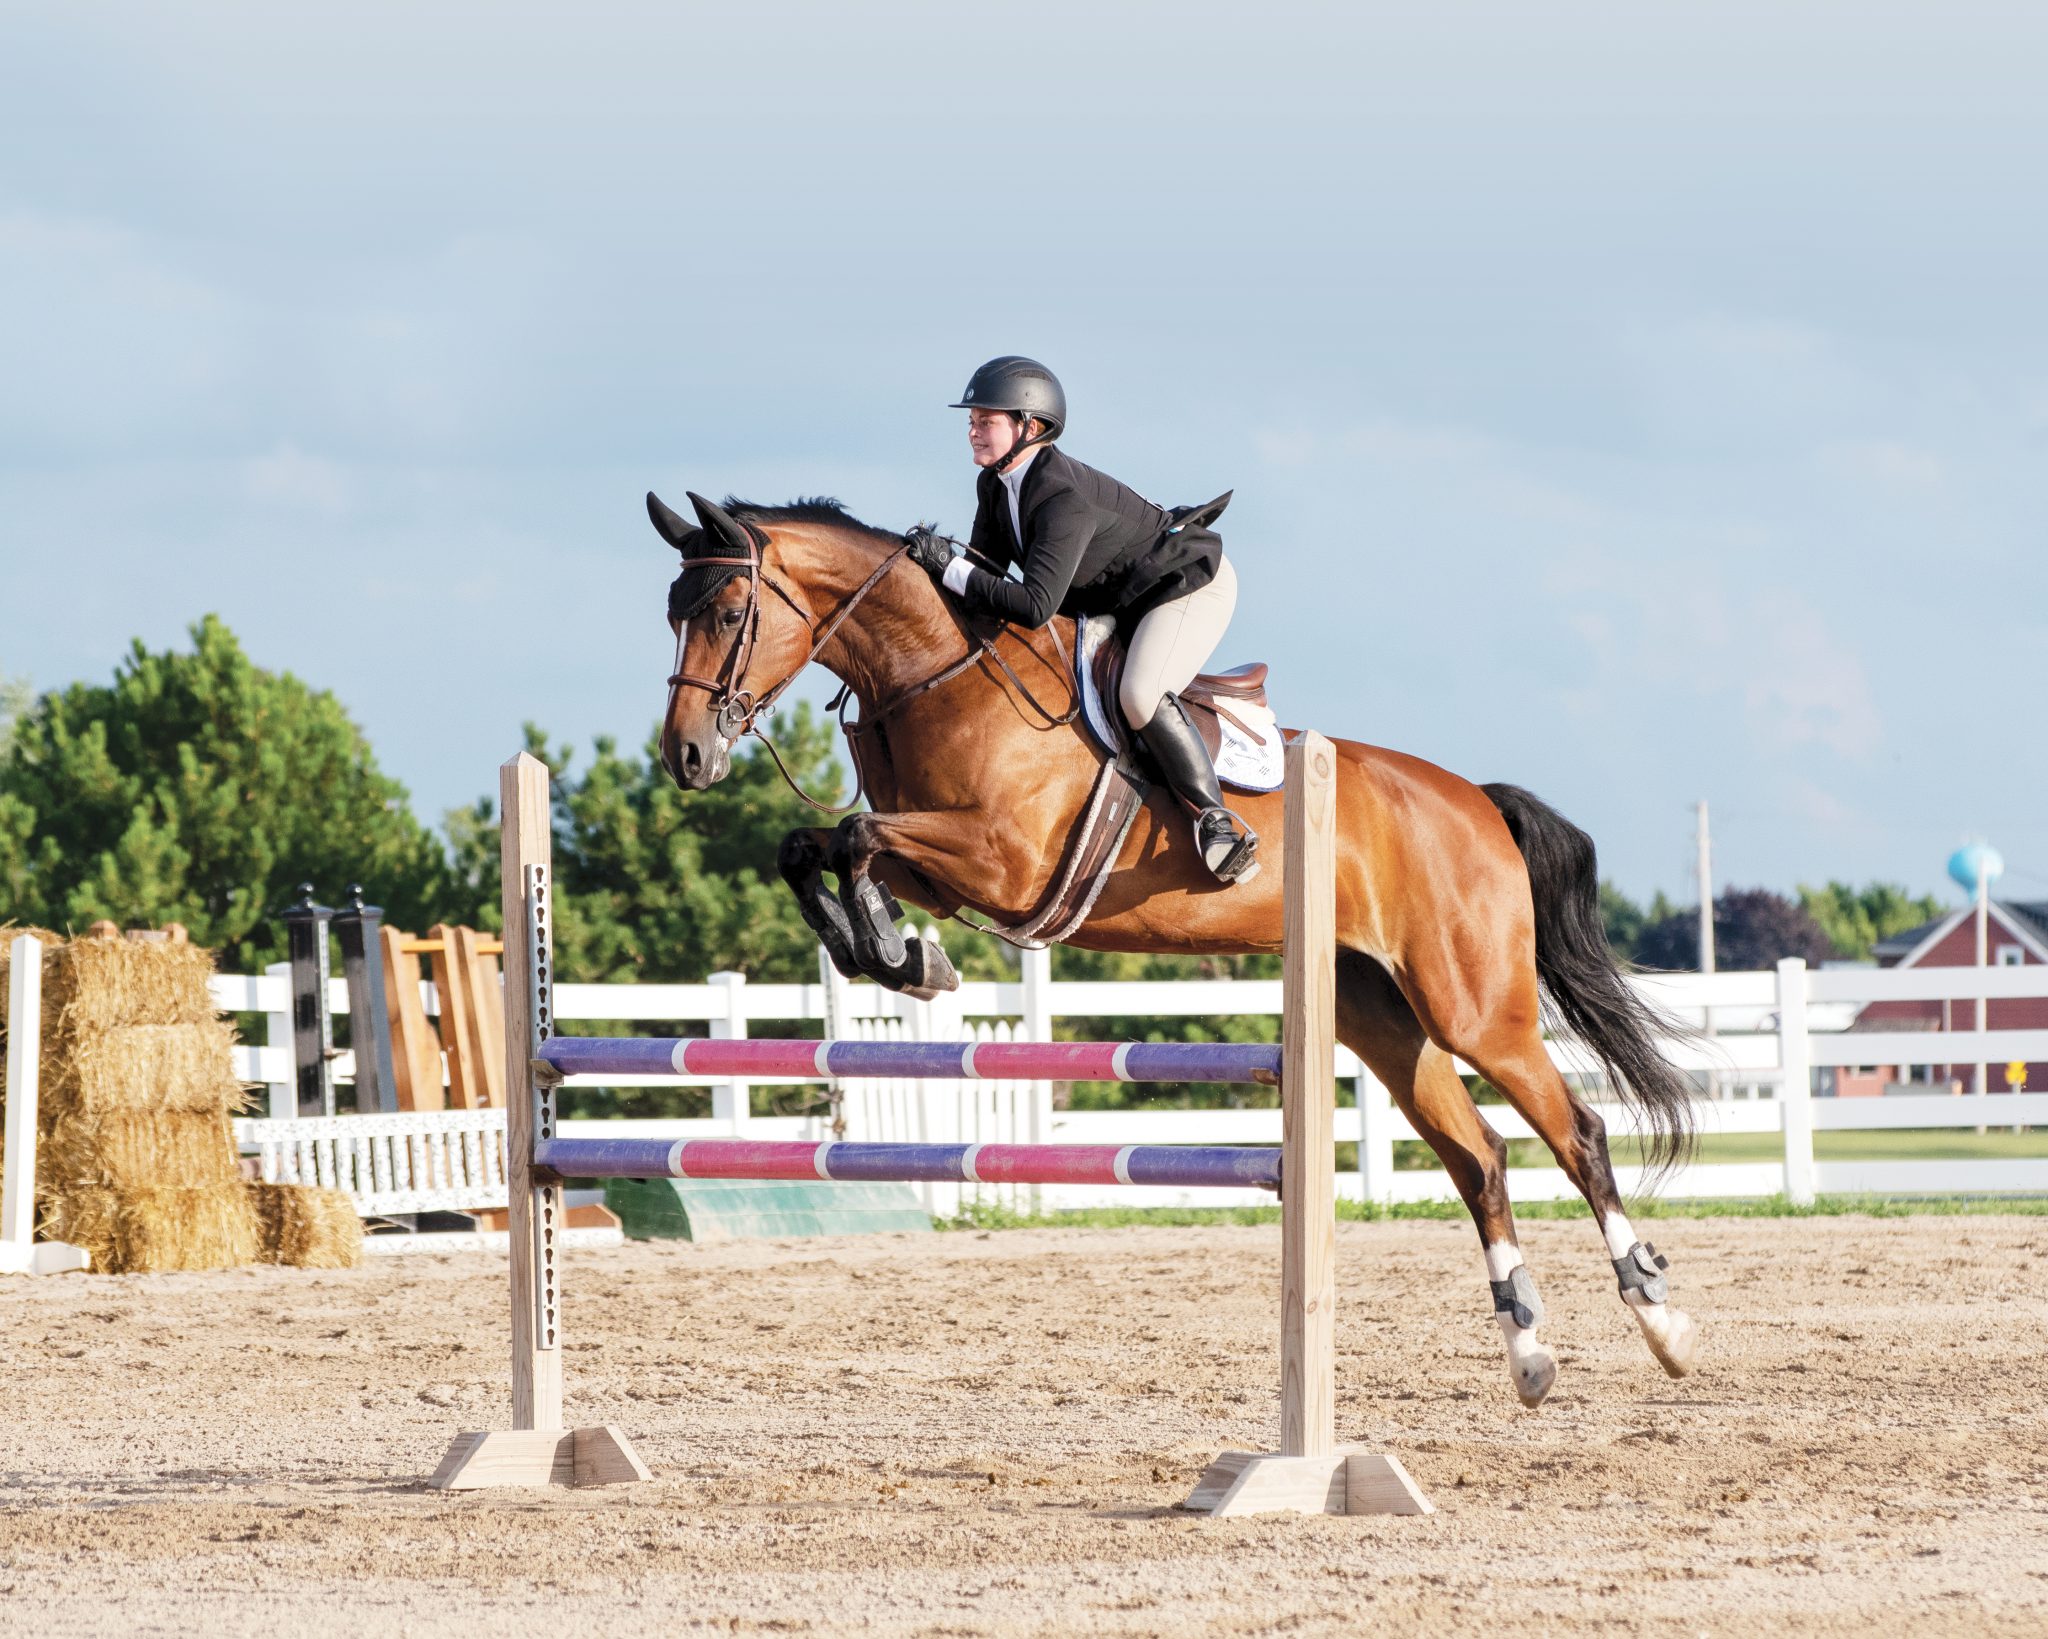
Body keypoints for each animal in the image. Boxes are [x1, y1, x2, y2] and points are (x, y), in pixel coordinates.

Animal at [649, 488, 1699, 1407]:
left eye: (732, 610)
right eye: (672, 613)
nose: (686, 757)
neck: (935, 672)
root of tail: (1476, 801)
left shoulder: (1001, 861)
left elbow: (859, 836)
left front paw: (896, 952)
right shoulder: (948, 866)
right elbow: (816, 846)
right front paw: (891, 952)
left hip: (1473, 1006)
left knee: (1578, 1135)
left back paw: (1663, 1323)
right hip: (1379, 1012)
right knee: (1477, 1156)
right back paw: (1529, 1353)